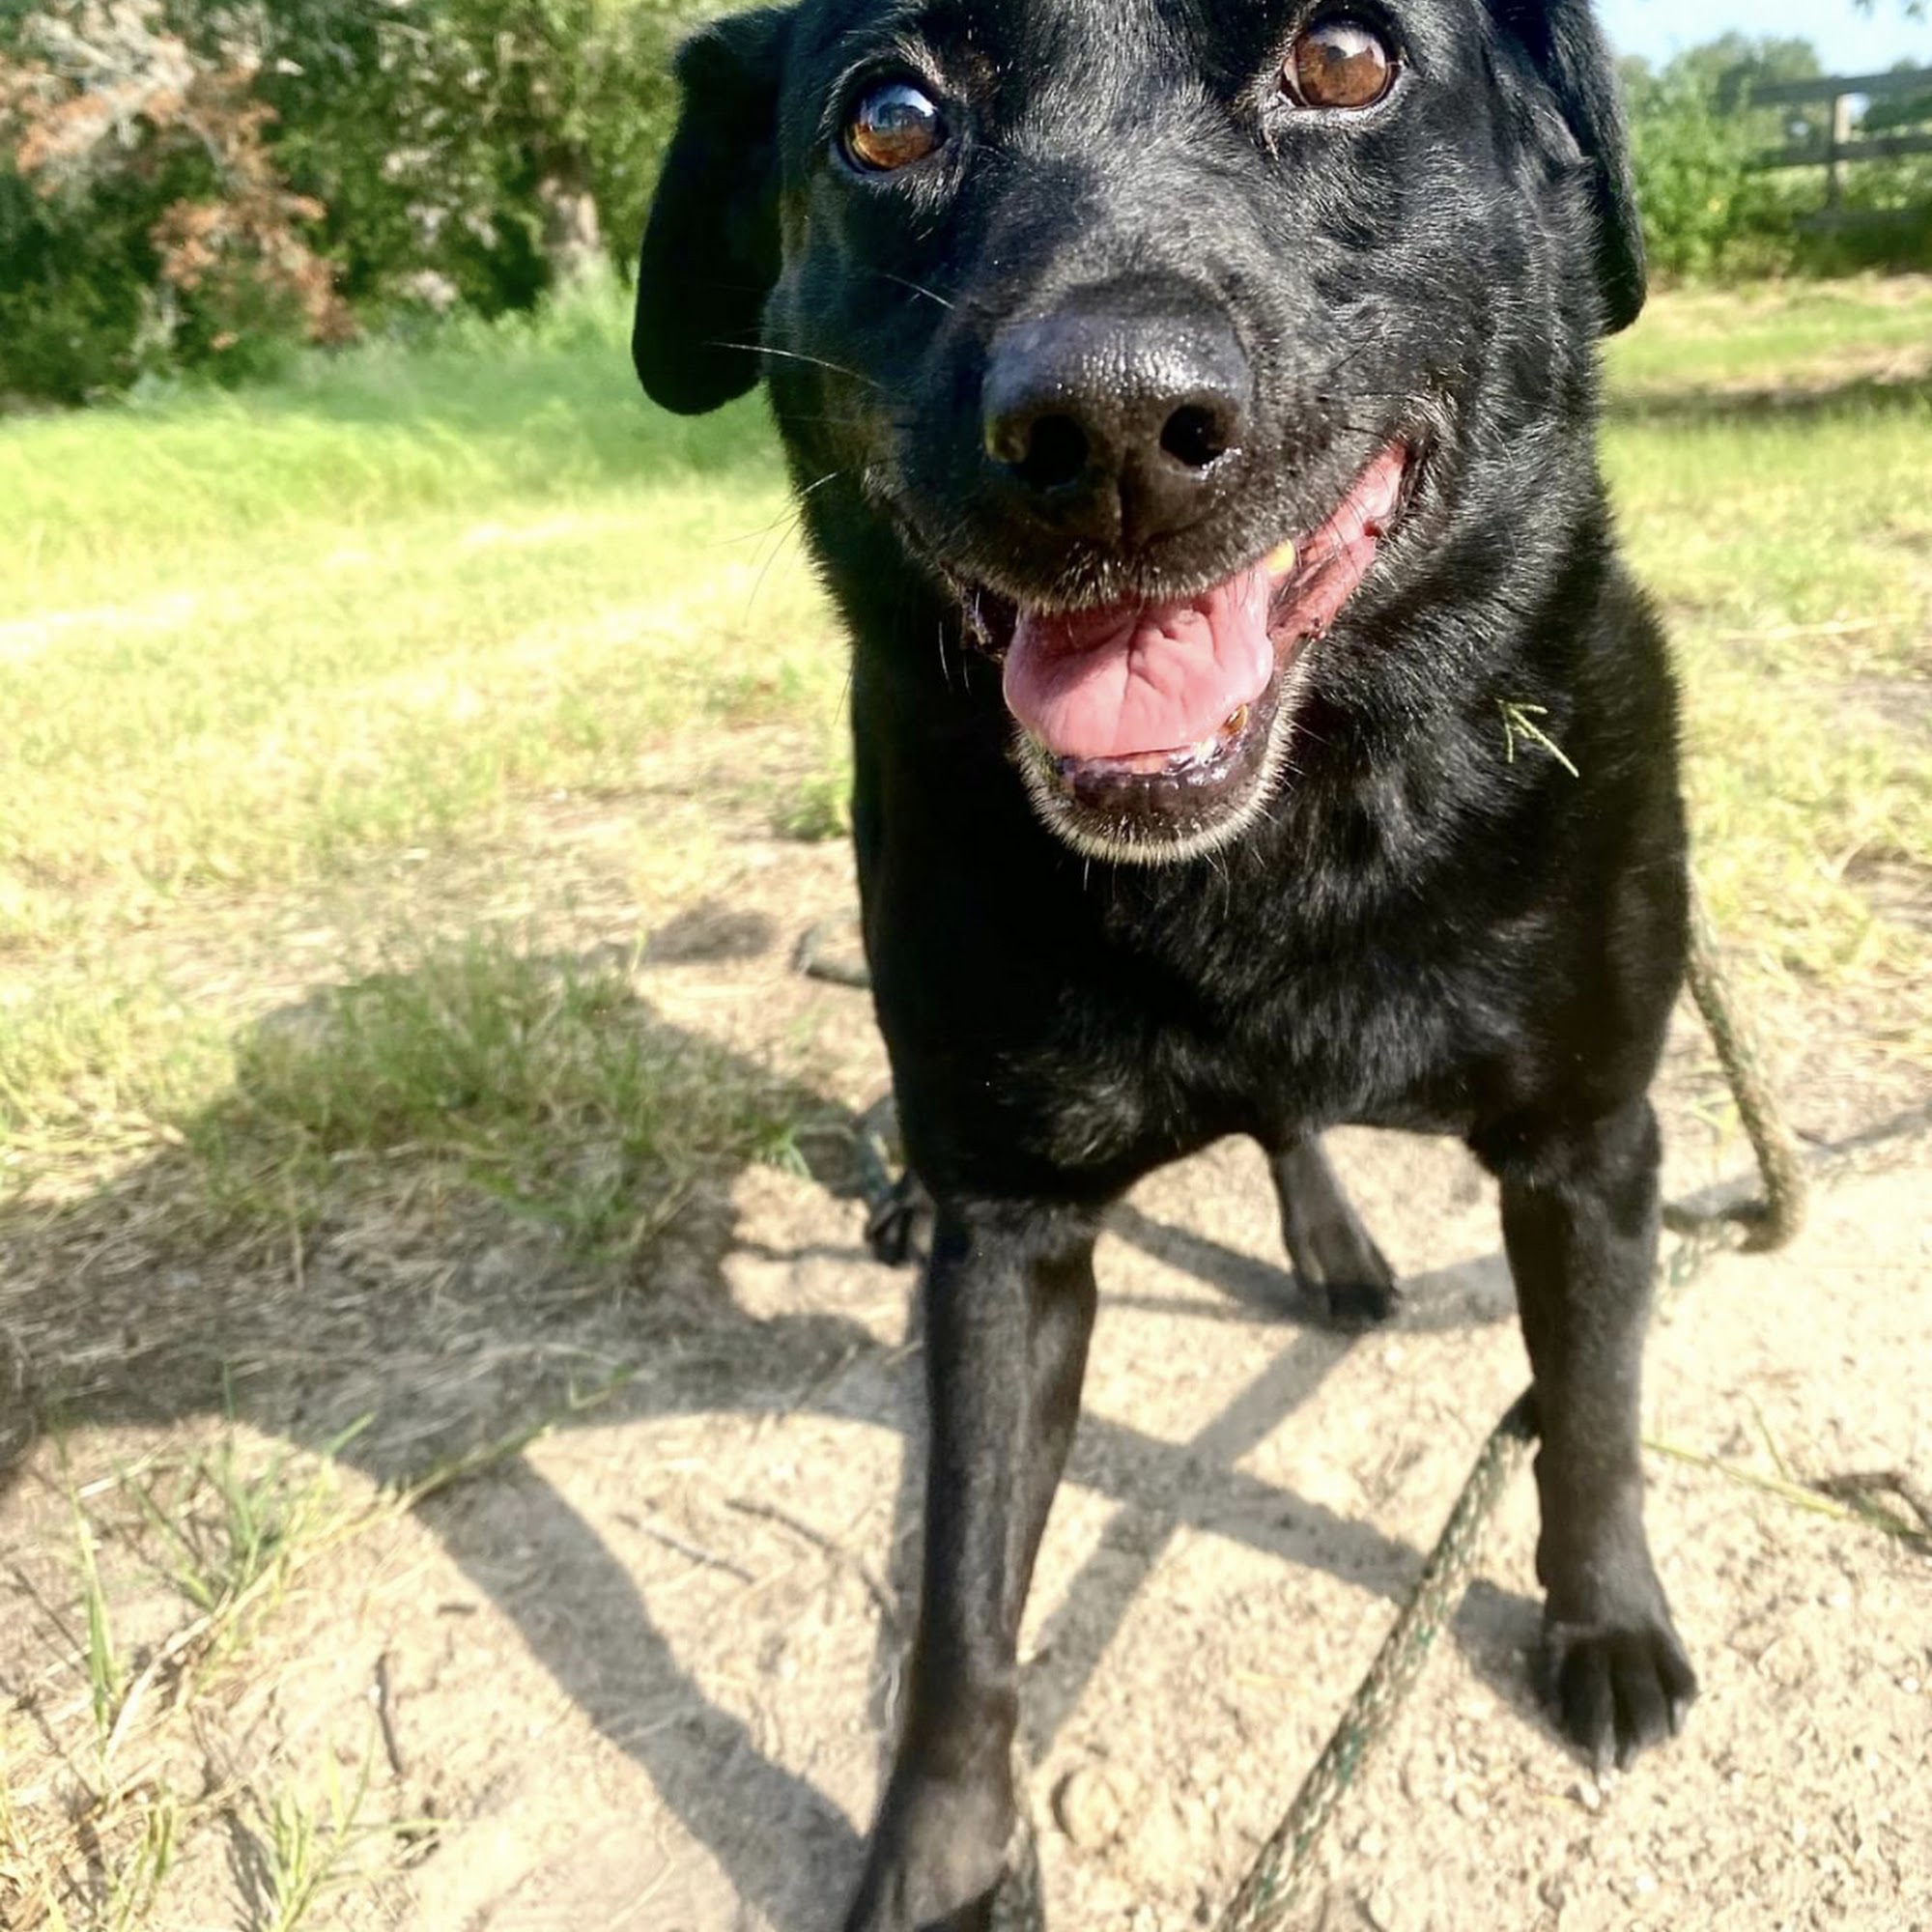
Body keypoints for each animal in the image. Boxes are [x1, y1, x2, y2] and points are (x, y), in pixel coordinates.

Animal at [634, 3, 1695, 1925]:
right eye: (887, 117)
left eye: (1345, 60)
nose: (1110, 423)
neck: (1278, 853)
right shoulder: (1013, 1247)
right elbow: (962, 1606)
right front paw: (940, 1857)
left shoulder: (1596, 1145)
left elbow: (1590, 1408)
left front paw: (1607, 1623)